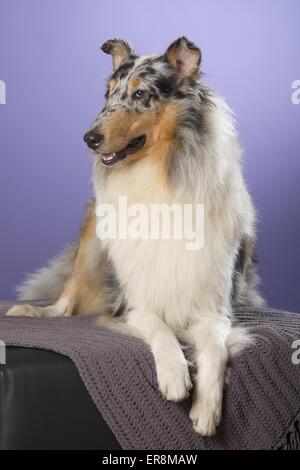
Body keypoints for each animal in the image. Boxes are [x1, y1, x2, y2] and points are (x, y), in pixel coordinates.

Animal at [7, 37, 264, 436]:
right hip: (92, 236)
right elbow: (160, 329)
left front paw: (206, 409)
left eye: (141, 93)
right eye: (108, 94)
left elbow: (215, 349)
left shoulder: (214, 309)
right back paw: (31, 311)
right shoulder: (133, 305)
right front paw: (175, 375)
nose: (89, 138)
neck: (159, 176)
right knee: (66, 300)